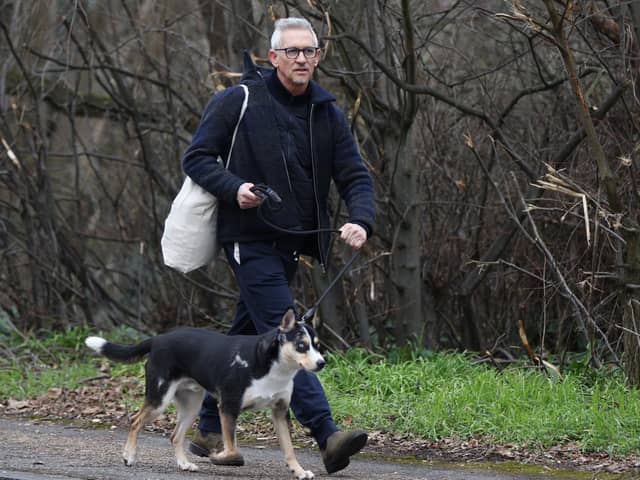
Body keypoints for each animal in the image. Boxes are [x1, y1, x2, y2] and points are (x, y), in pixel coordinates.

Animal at [84, 310, 324, 478]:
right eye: (301, 345)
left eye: (317, 345)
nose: (322, 363)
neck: (272, 366)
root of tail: (158, 338)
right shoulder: (227, 407)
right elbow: (232, 448)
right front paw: (220, 456)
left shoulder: (280, 412)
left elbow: (289, 449)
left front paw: (299, 471)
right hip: (160, 399)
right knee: (135, 421)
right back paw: (129, 456)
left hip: (191, 406)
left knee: (175, 436)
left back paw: (183, 464)